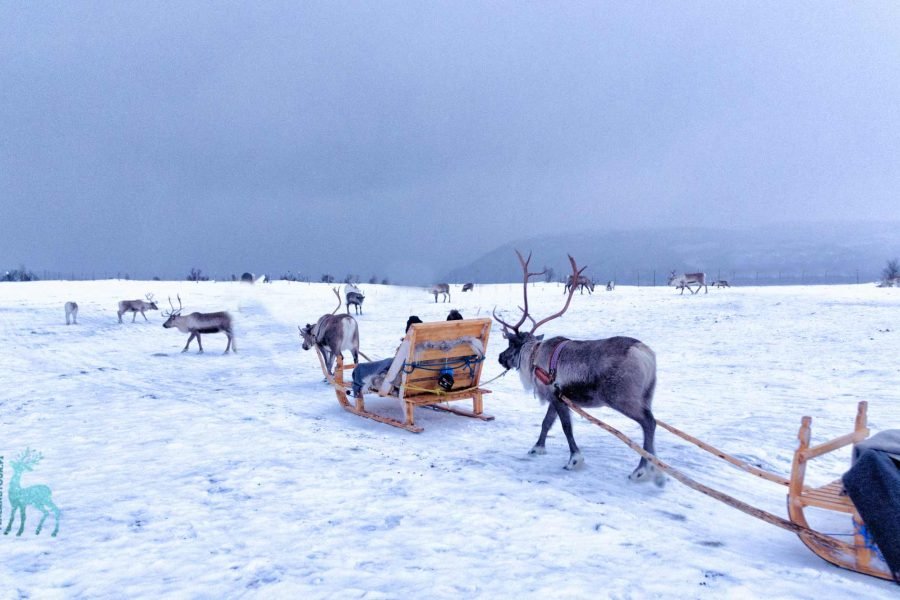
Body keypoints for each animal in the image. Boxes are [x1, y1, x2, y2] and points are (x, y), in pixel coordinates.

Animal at [494, 251, 664, 486]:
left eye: (511, 344)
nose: (500, 358)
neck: (534, 356)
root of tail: (646, 353)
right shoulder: (554, 397)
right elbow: (546, 423)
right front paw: (537, 448)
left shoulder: (558, 397)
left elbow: (566, 428)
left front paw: (574, 459)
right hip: (647, 395)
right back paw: (655, 470)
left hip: (623, 398)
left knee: (649, 423)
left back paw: (640, 470)